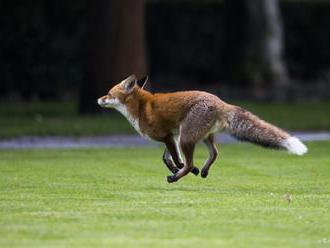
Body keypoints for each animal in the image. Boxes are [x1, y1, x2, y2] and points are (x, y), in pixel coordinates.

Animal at [96, 74, 308, 183]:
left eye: (108, 94)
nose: (98, 99)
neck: (140, 108)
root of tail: (220, 101)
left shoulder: (168, 137)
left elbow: (176, 159)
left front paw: (180, 170)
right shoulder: (171, 136)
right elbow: (167, 159)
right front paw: (180, 168)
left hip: (186, 138)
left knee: (193, 161)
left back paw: (178, 177)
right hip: (200, 136)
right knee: (215, 153)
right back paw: (203, 170)